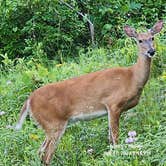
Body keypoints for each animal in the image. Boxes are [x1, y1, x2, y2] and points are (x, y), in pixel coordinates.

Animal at [15, 20, 163, 165]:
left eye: (152, 38)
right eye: (140, 40)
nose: (151, 51)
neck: (132, 77)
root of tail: (29, 100)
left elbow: (110, 139)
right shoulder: (113, 104)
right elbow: (115, 138)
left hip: (49, 126)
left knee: (39, 152)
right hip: (53, 123)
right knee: (46, 155)